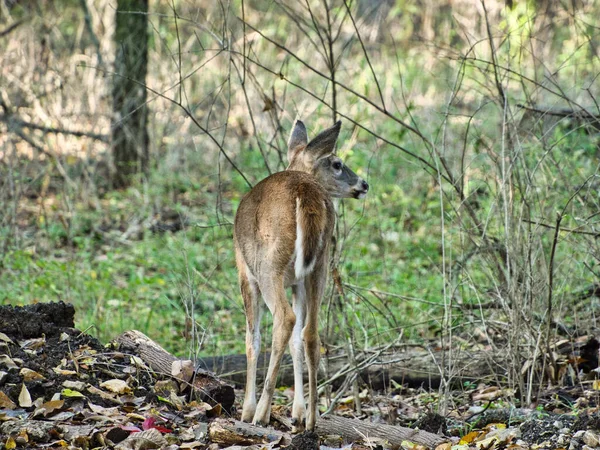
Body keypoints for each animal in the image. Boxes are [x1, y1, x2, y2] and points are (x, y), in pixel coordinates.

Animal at [233, 119, 366, 432]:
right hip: (319, 266)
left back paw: (260, 414)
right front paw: (298, 411)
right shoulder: (296, 282)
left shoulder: (245, 272)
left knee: (284, 319)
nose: (364, 184)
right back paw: (313, 420)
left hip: (269, 263)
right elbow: (296, 342)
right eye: (337, 163)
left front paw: (247, 410)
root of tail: (306, 189)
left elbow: (252, 339)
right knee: (310, 332)